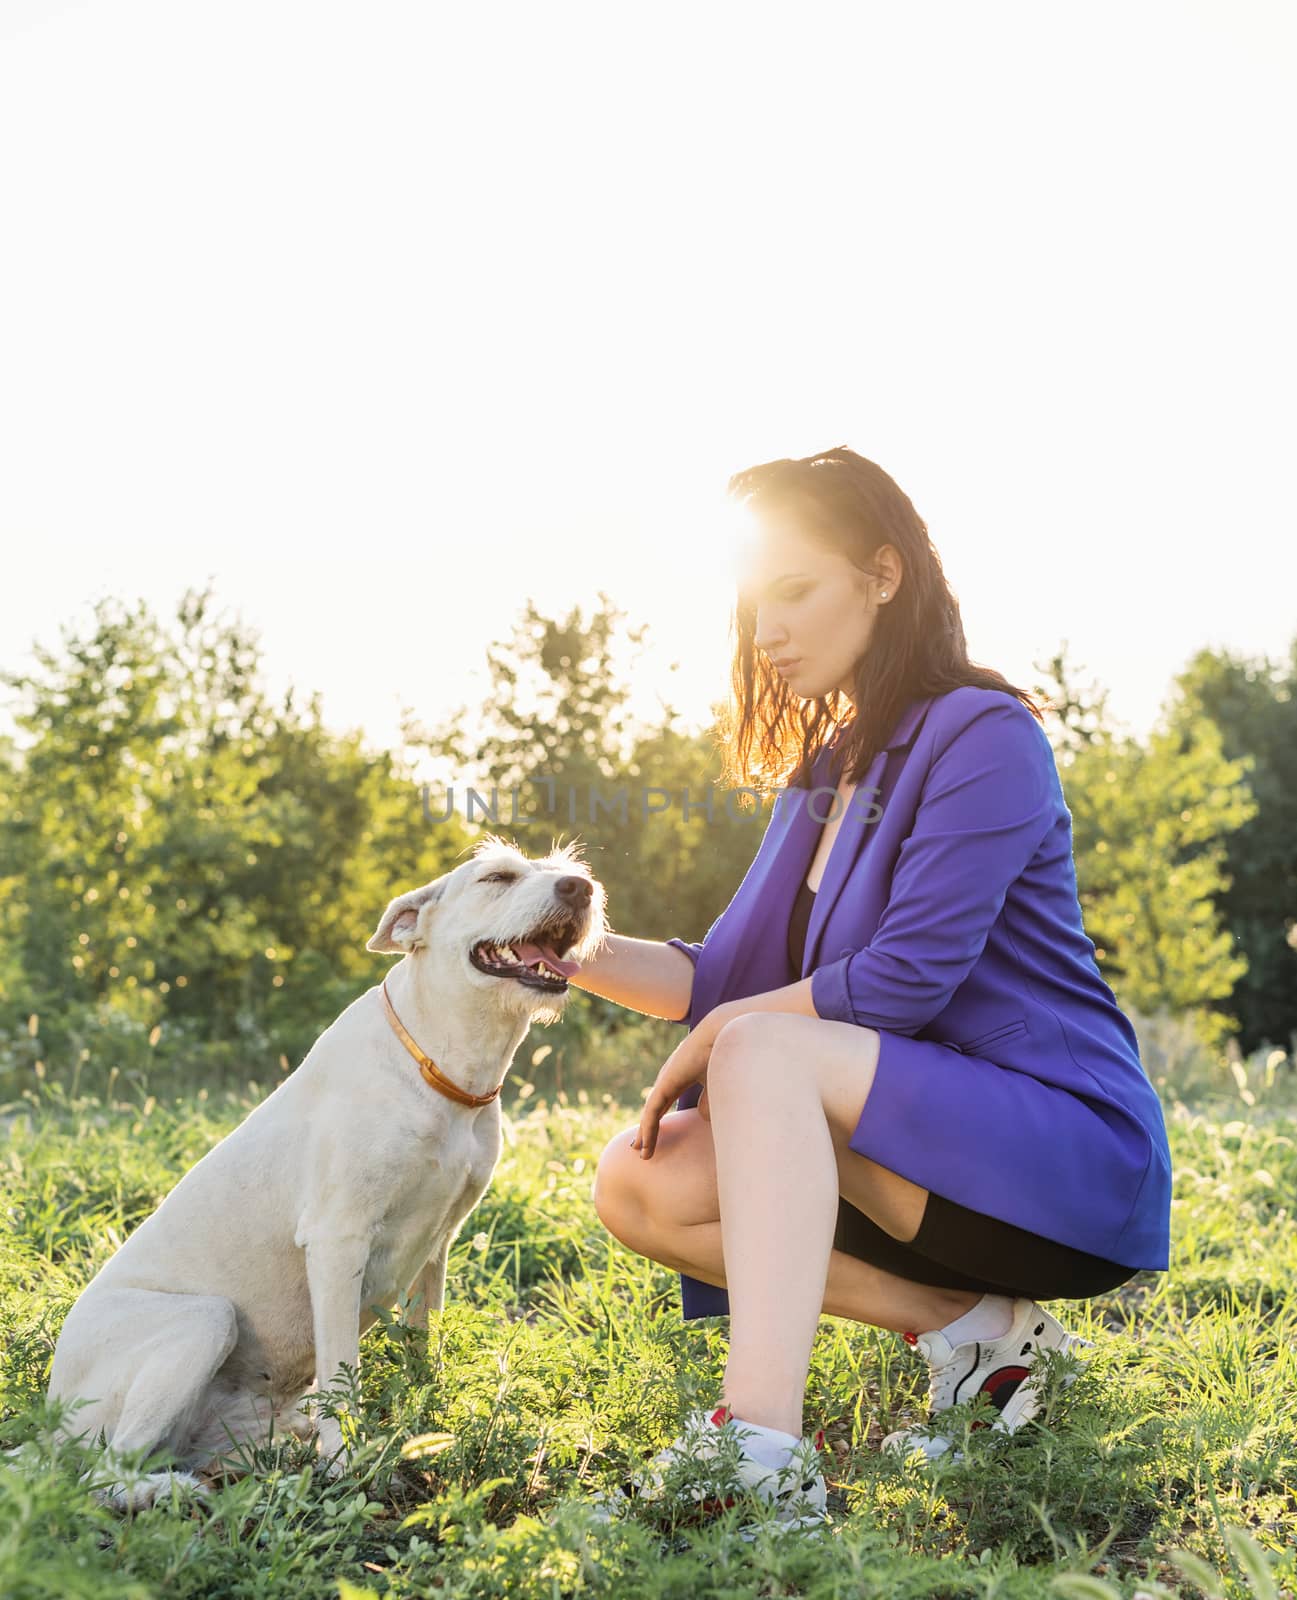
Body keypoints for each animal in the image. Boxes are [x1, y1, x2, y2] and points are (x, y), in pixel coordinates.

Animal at [43, 838, 607, 1510]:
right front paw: (346, 1463)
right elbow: (342, 1370)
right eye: (497, 877)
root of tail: (47, 1422)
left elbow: (423, 1349)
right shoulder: (339, 1243)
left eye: (568, 872)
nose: (580, 889)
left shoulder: (436, 1247)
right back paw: (179, 1489)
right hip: (204, 1319)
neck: (439, 1066)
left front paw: (425, 1426)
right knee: (105, 1477)